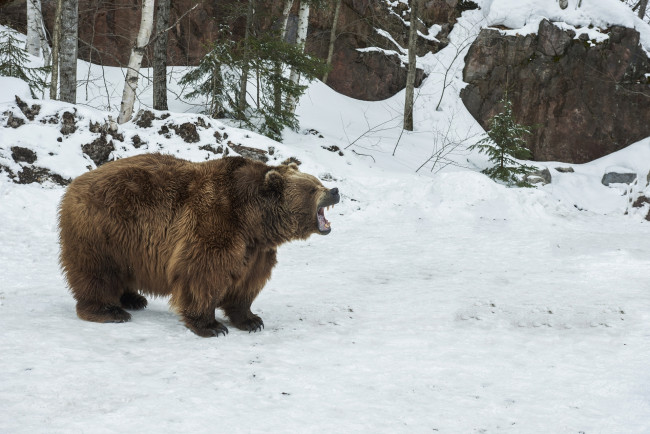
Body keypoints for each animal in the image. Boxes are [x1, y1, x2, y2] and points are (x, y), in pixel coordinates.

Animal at [57, 154, 340, 338]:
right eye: (312, 188)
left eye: (319, 182)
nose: (335, 190)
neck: (254, 220)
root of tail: (74, 184)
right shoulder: (216, 222)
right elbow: (203, 273)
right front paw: (211, 326)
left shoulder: (256, 249)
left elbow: (248, 282)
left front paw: (251, 320)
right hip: (103, 229)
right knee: (97, 271)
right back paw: (109, 310)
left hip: (125, 240)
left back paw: (133, 298)